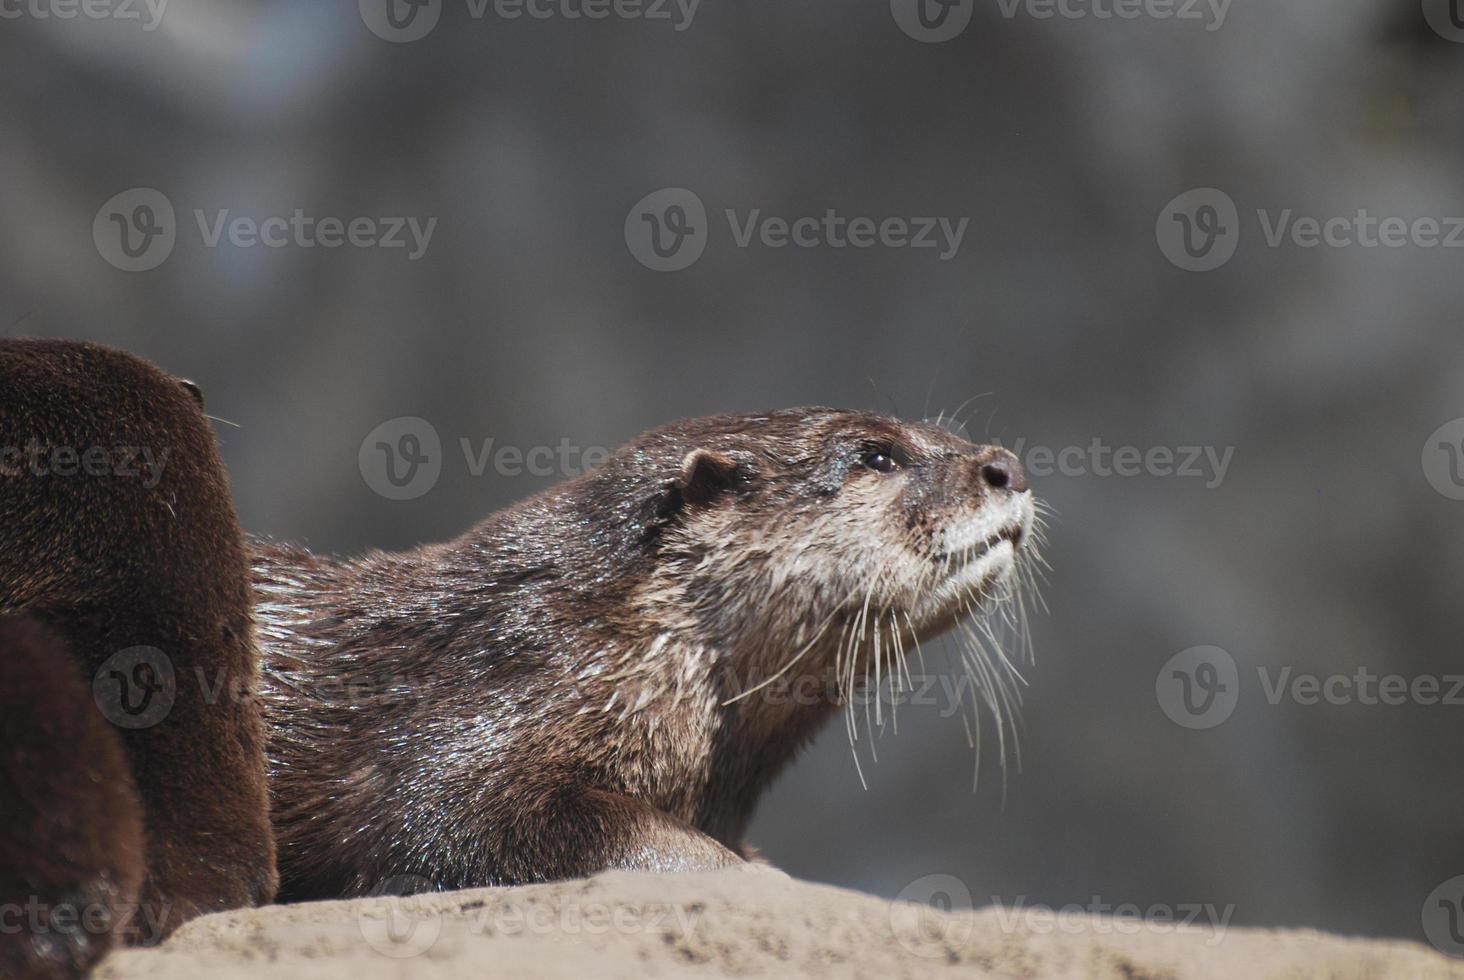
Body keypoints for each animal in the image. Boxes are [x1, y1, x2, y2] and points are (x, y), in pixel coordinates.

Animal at [254, 404, 1042, 896]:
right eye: (876, 455)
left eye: (943, 431)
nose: (1006, 466)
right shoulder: (458, 734)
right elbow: (449, 825)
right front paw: (755, 876)